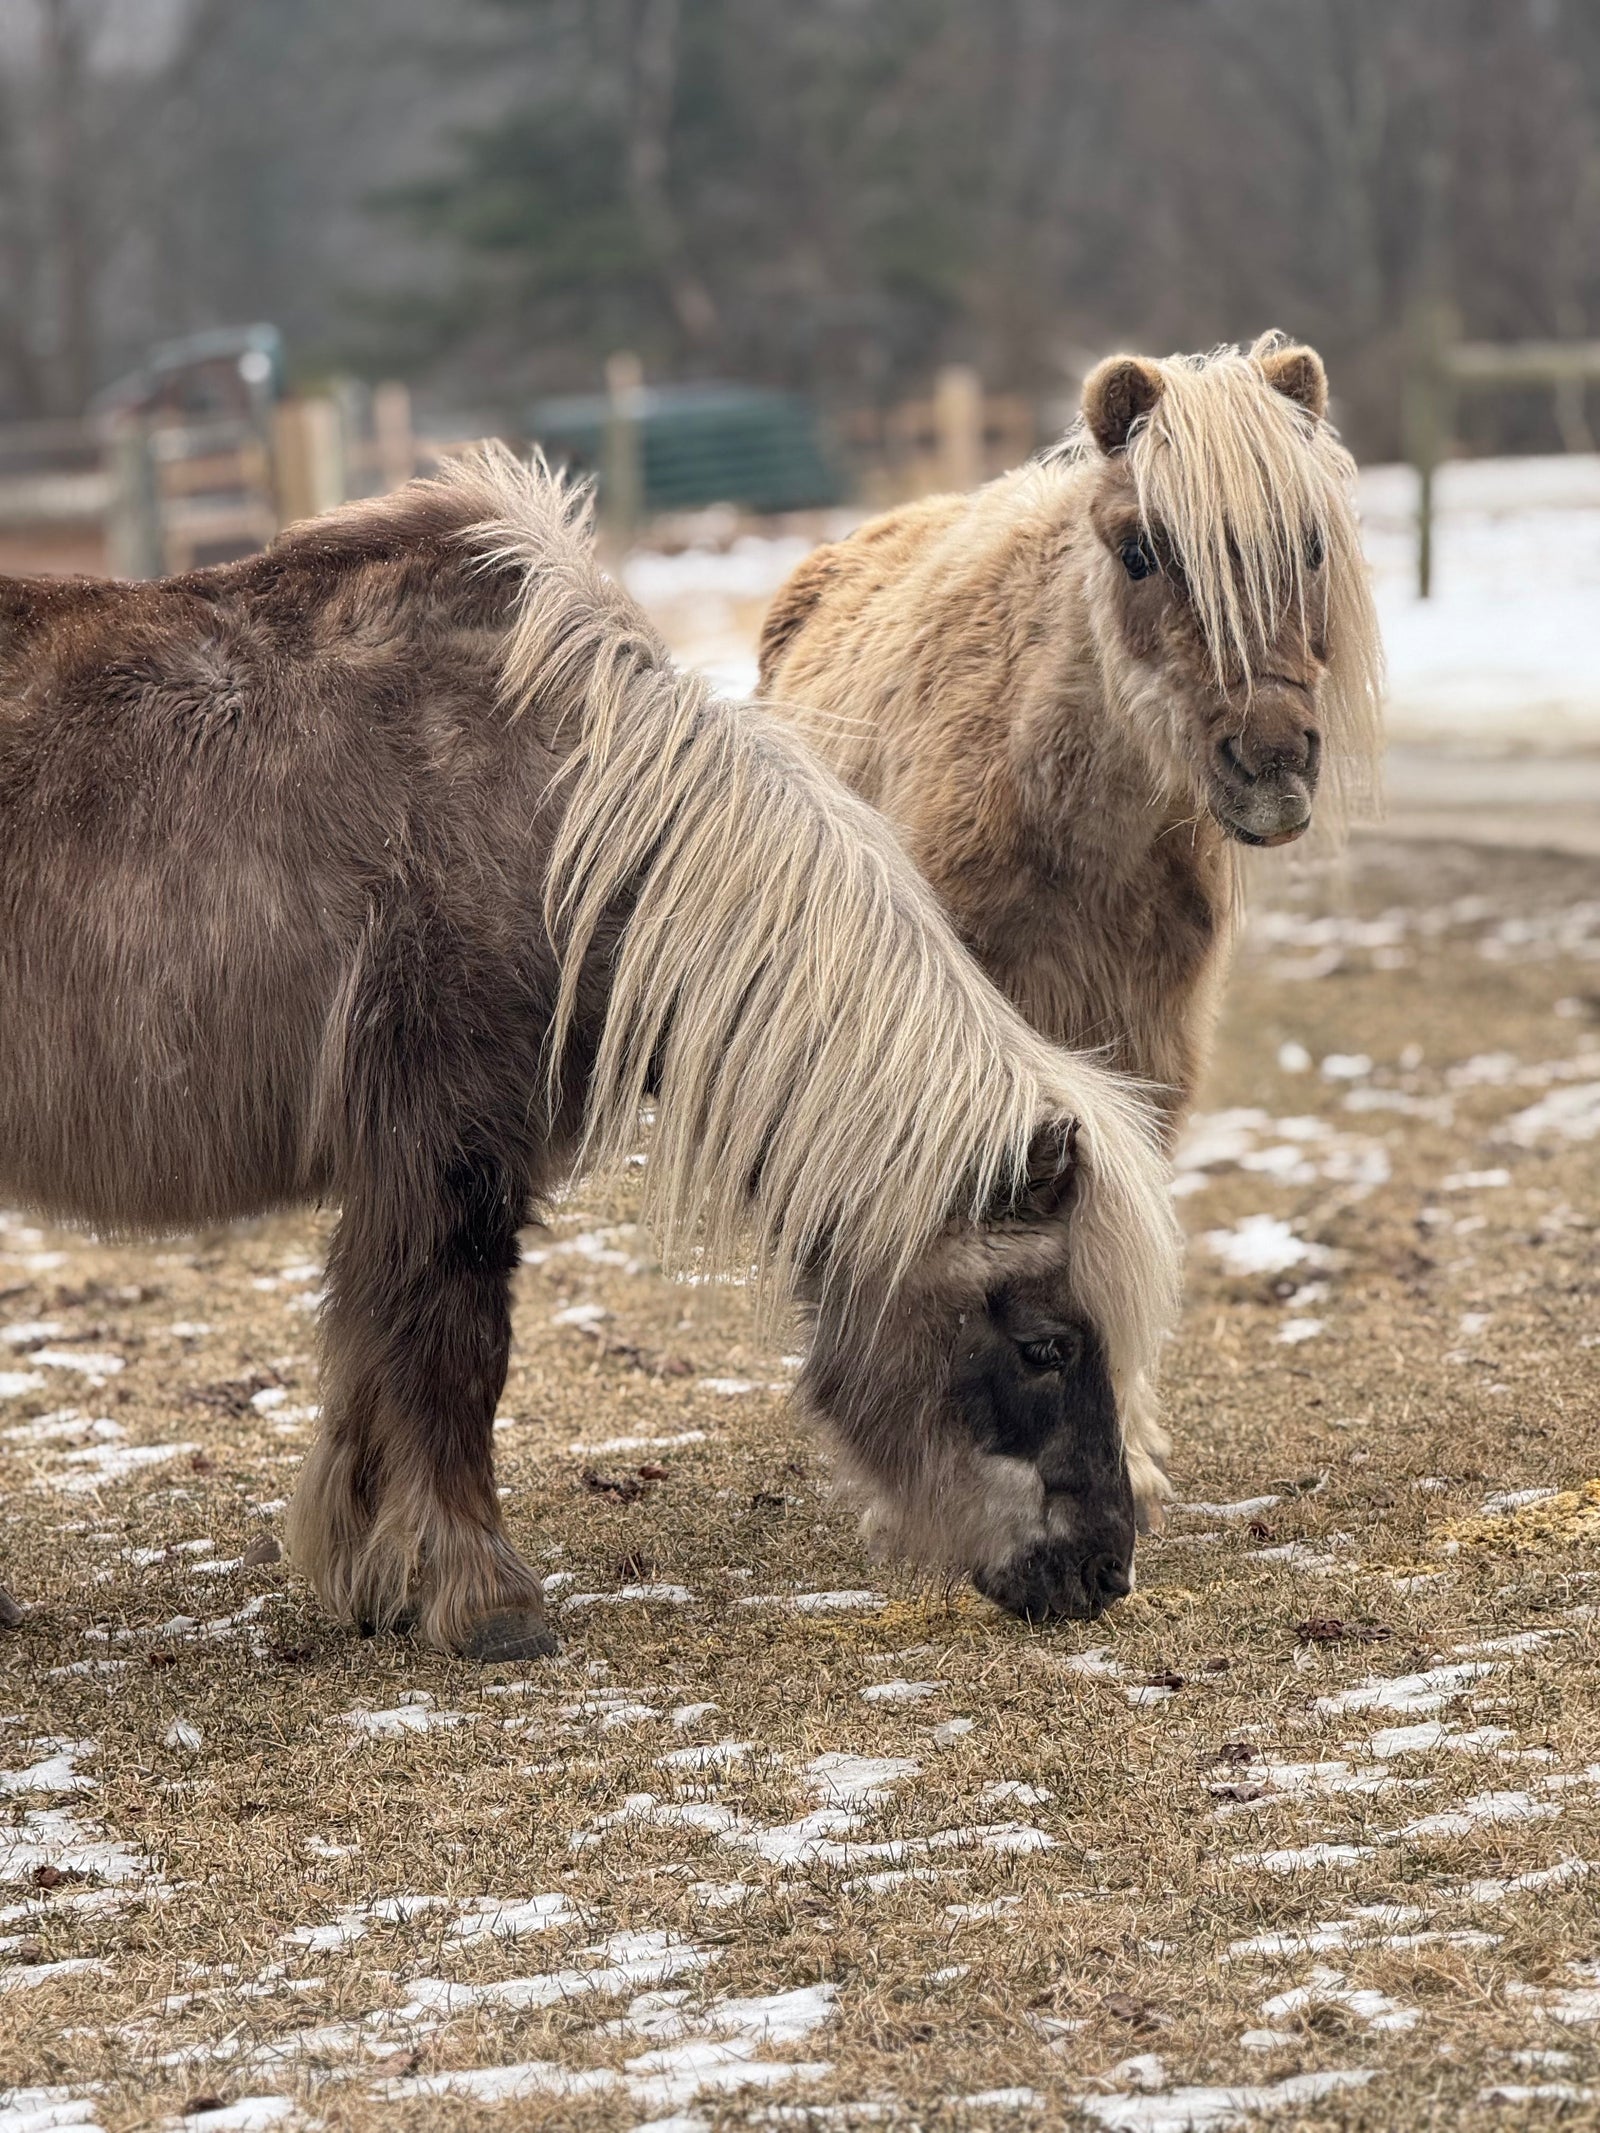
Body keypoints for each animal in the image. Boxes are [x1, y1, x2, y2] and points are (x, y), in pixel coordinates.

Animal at [0, 445, 1177, 1646]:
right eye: (1046, 1344)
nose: (1102, 1570)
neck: (563, 821)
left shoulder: (401, 1171)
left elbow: (372, 1357)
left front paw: (374, 1583)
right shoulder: (454, 1154)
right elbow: (455, 1355)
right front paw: (488, 1602)